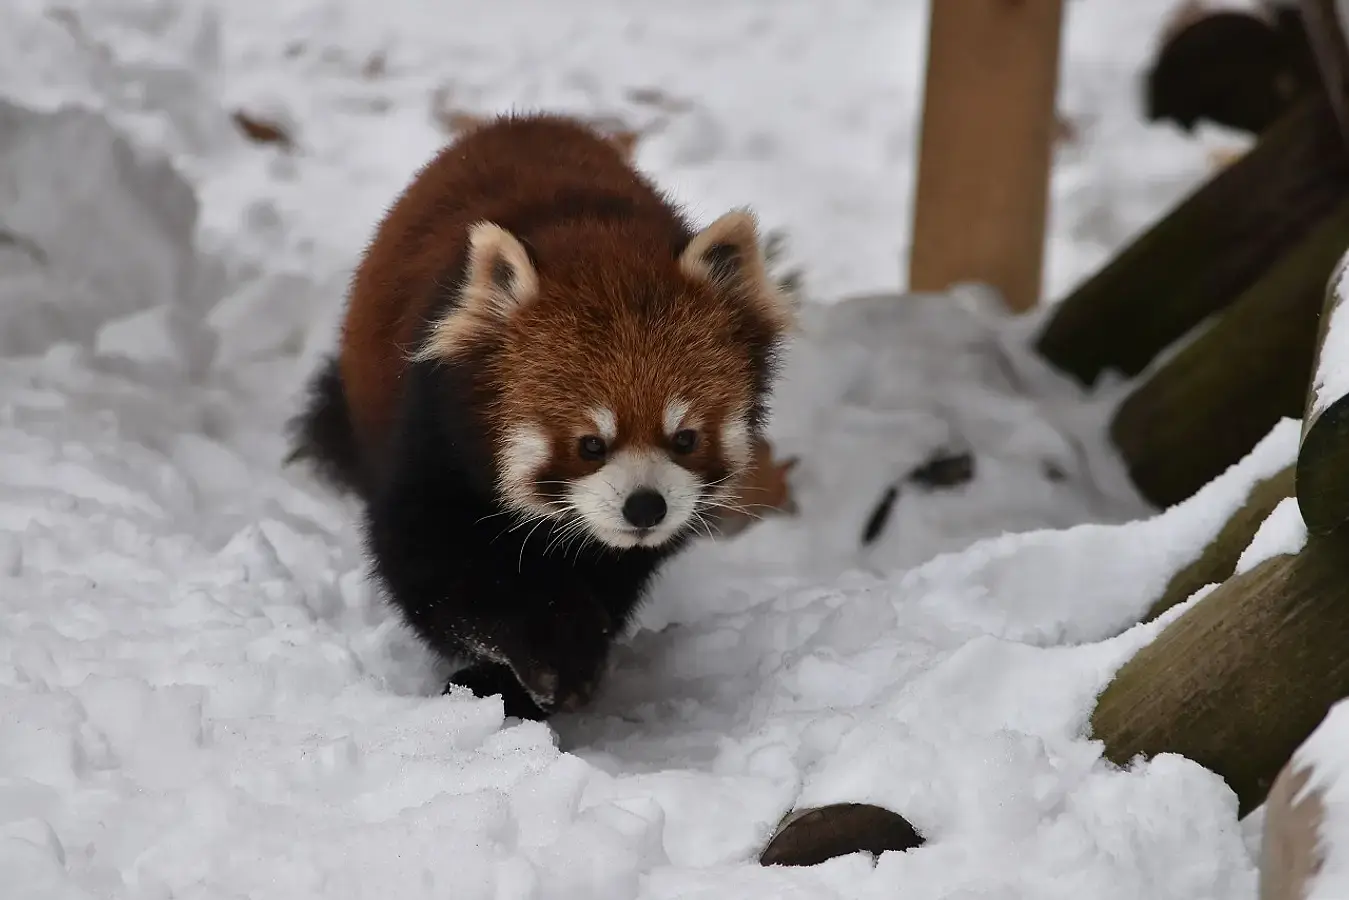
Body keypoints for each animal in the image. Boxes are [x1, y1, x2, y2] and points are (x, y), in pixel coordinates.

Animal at [284, 112, 787, 723]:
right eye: (591, 443)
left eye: (685, 437)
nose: (645, 507)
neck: (593, 232)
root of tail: (526, 120)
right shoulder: (435, 435)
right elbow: (441, 569)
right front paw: (551, 653)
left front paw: (553, 668)